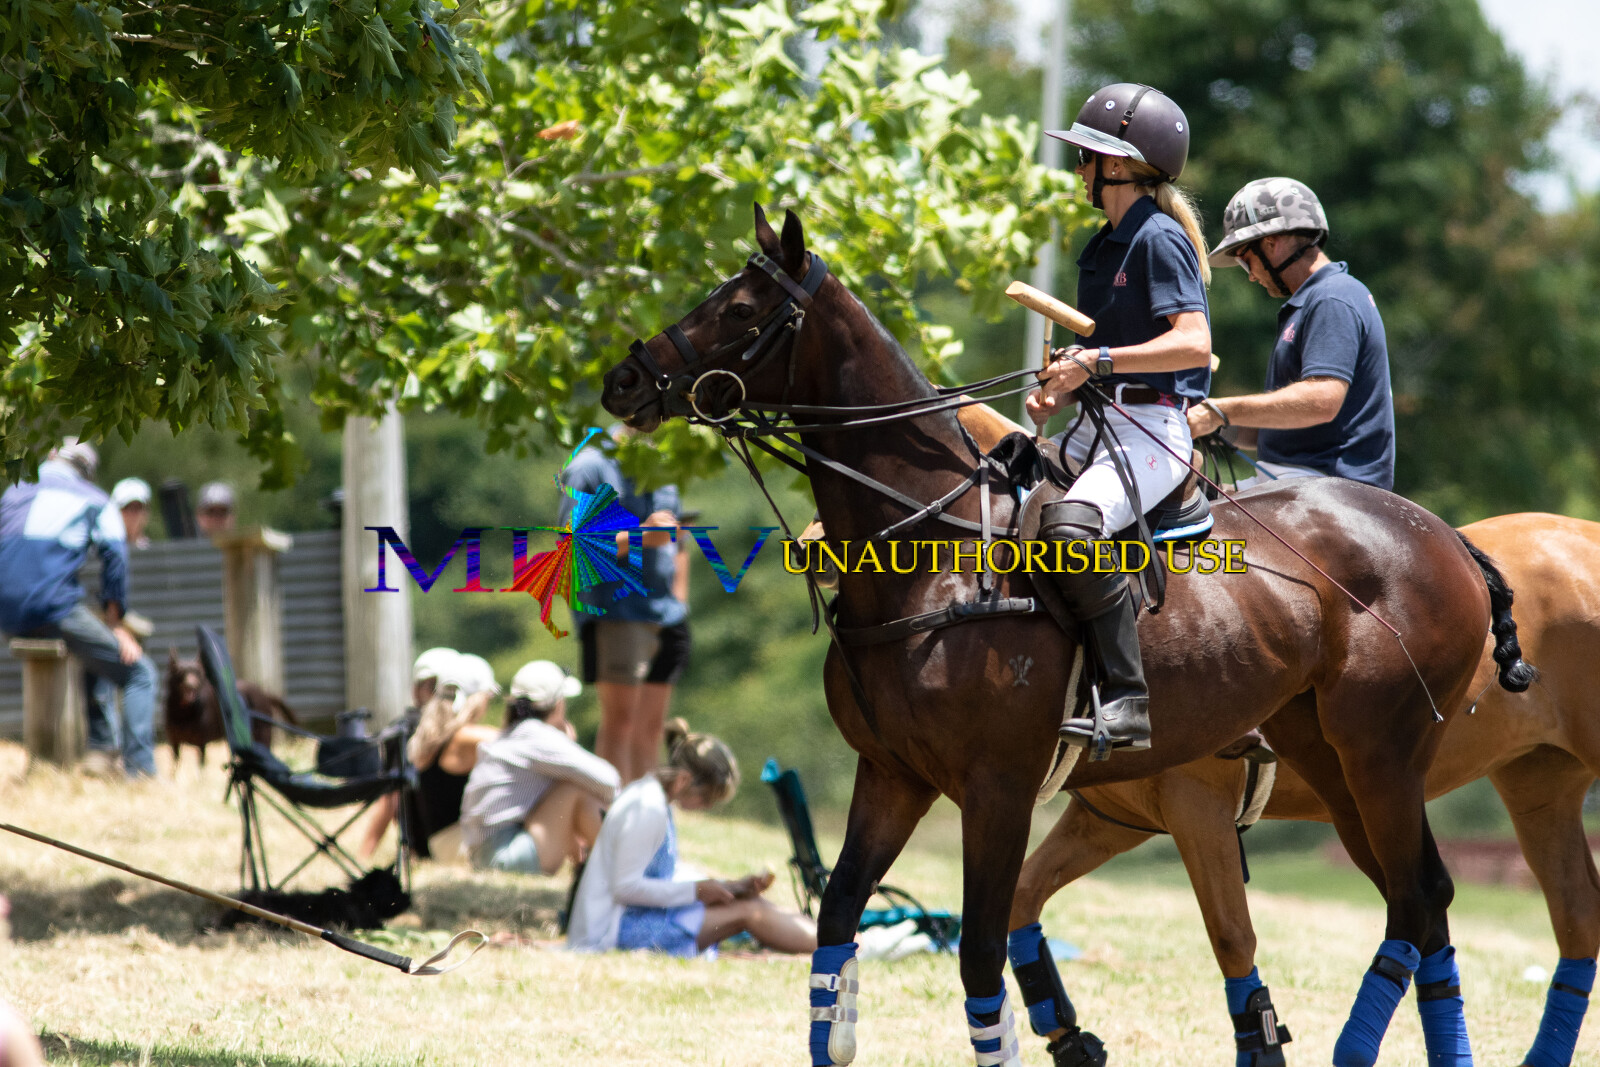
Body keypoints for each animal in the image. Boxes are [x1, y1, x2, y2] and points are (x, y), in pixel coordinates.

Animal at [164, 650, 297, 766]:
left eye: (197, 672)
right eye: (181, 672)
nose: (192, 685)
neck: (183, 711)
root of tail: (264, 695)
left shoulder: (201, 743)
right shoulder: (174, 743)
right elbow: (175, 767)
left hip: (262, 734)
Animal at [600, 205, 1527, 1066]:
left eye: (741, 305)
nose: (624, 379)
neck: (931, 546)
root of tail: (1451, 538)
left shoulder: (1002, 784)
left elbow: (979, 949)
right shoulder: (894, 772)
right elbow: (837, 921)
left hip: (1380, 751)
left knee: (1416, 896)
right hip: (1327, 752)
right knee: (1423, 896)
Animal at [1013, 511, 1600, 1066]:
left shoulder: (1196, 807)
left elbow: (1231, 935)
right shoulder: (1113, 820)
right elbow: (1024, 895)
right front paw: (1067, 1036)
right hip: (1535, 783)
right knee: (1574, 913)